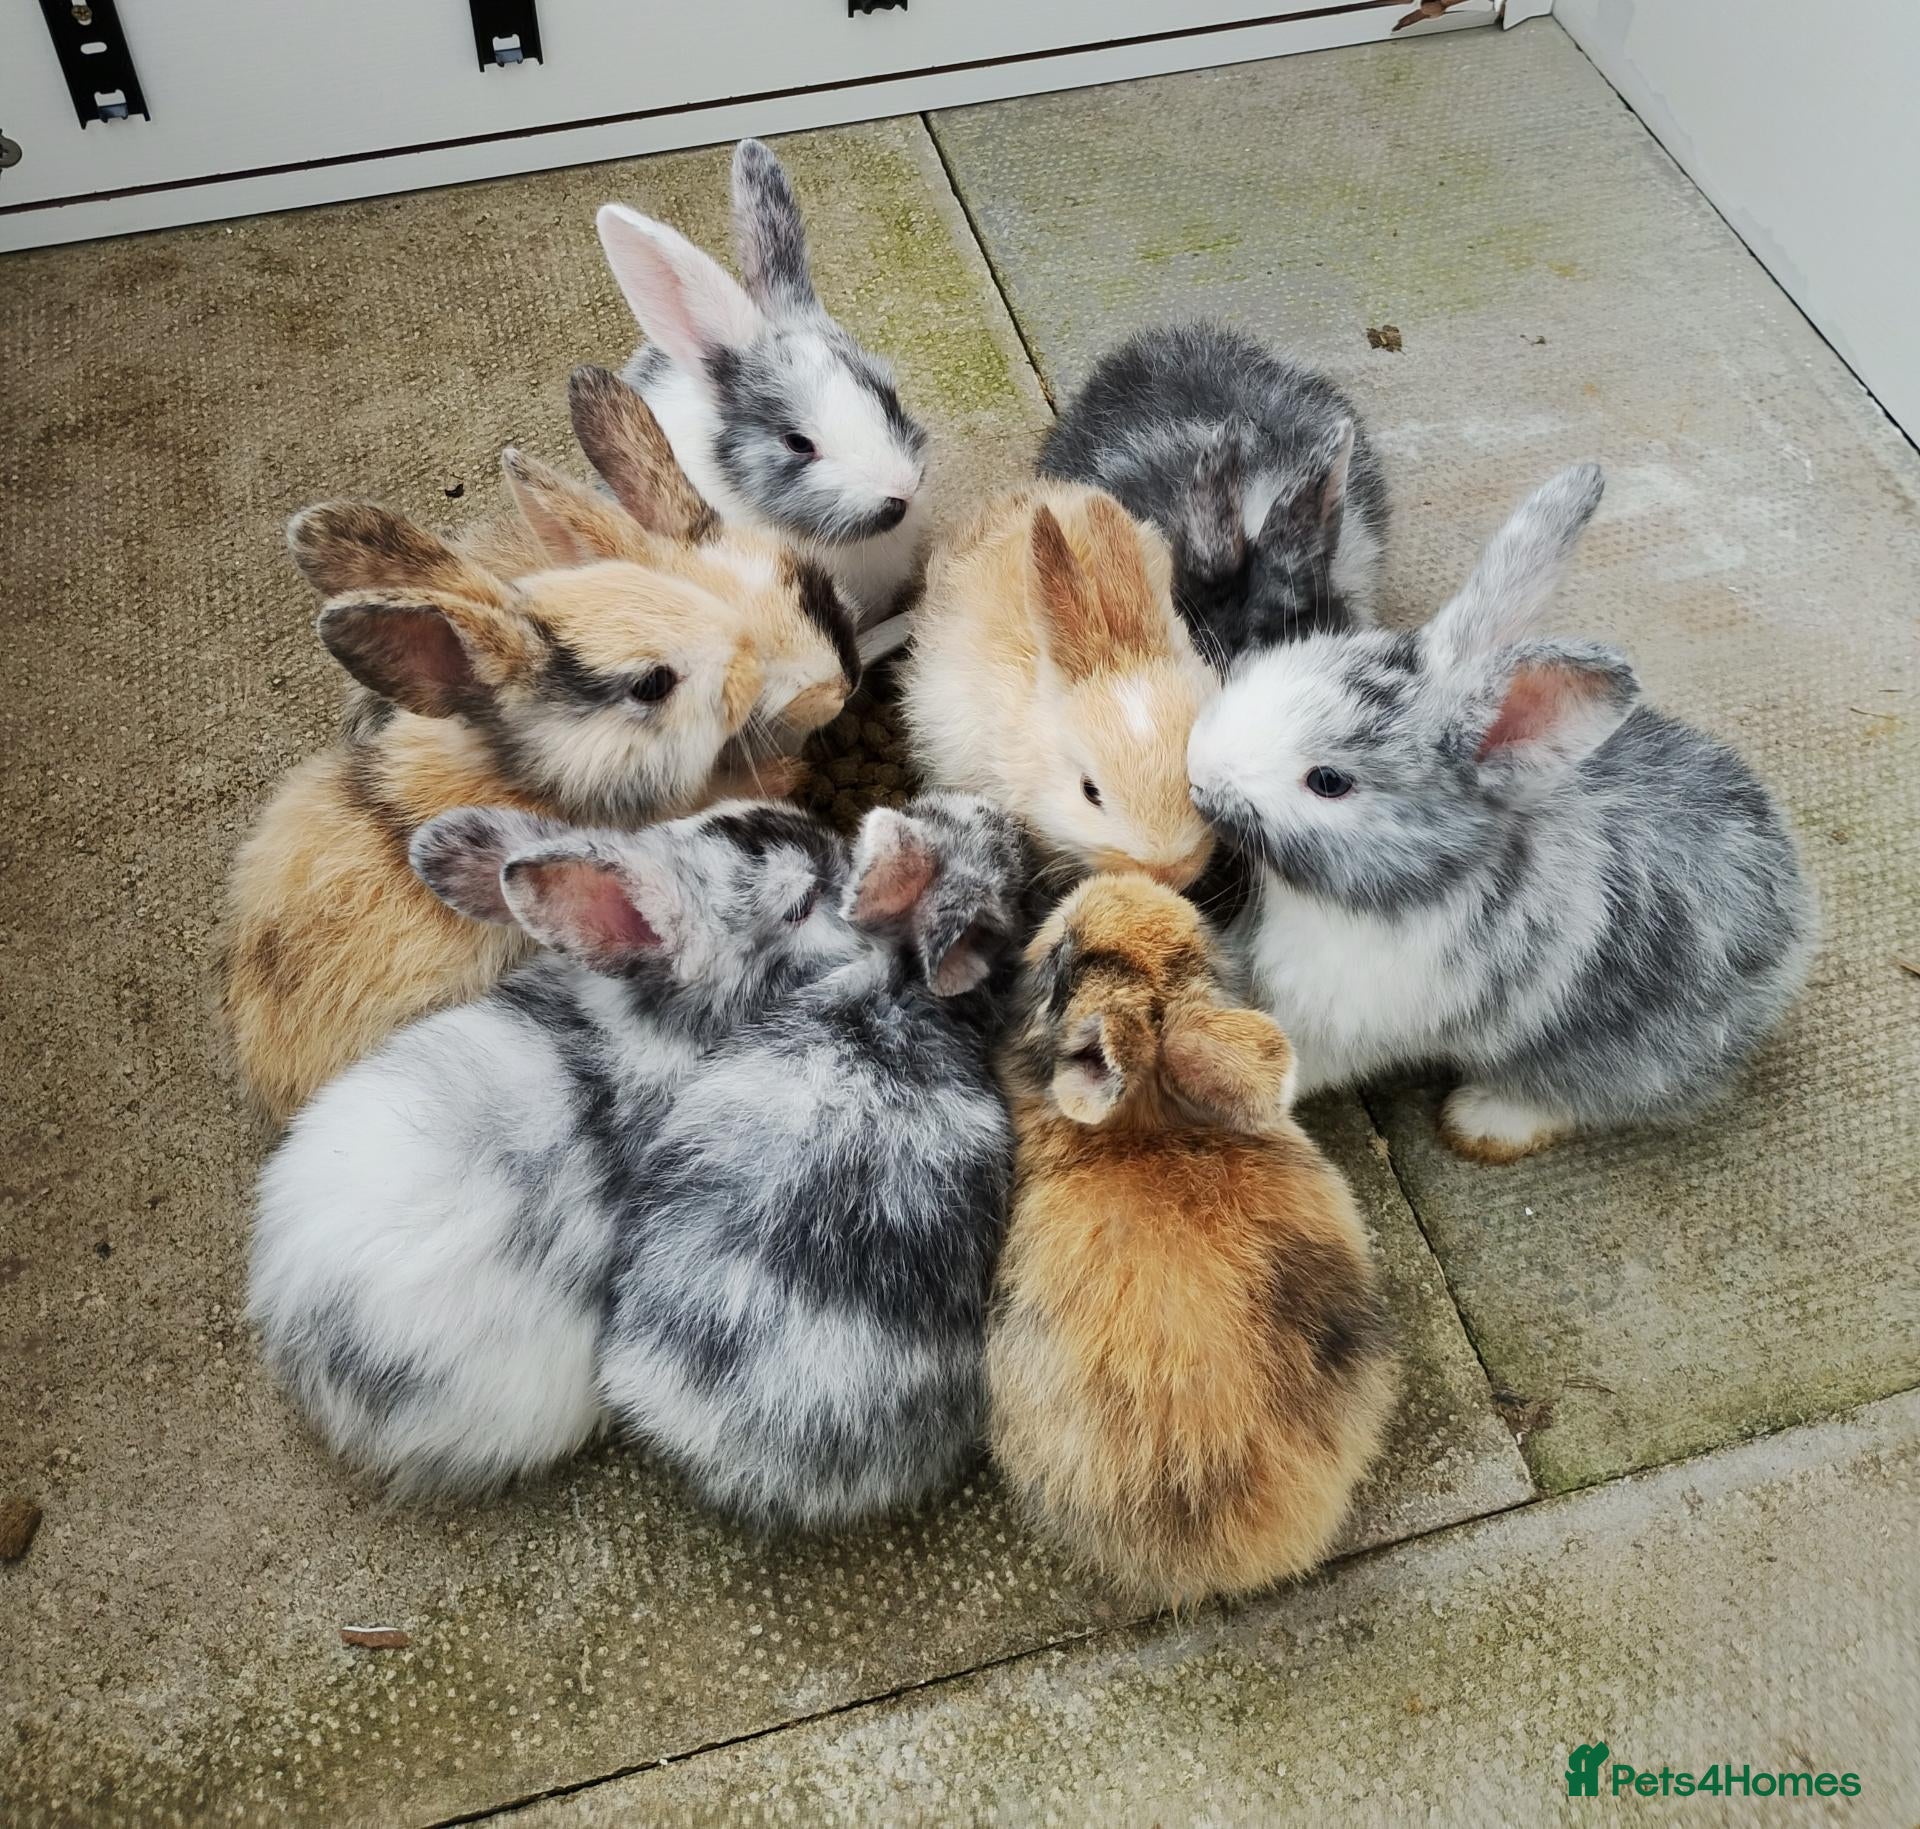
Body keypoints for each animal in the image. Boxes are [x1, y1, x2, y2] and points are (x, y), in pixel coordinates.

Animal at [1187, 465, 1819, 1162]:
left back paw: (1482, 1123)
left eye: (1328, 782)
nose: (1198, 768)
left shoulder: (1352, 1019)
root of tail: (1797, 925)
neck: (1418, 885)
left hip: (1617, 1054)